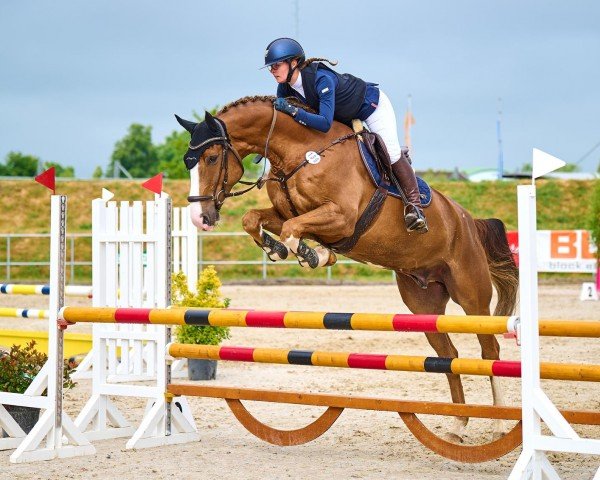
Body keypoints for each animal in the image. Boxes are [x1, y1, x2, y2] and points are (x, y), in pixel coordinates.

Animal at [176, 94, 516, 442]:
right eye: (189, 161)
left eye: (212, 158)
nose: (200, 218)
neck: (301, 151)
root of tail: (468, 220)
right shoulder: (288, 214)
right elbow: (254, 219)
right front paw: (286, 250)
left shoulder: (341, 216)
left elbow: (294, 229)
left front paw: (312, 255)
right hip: (424, 304)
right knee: (449, 356)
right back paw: (458, 424)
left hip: (471, 296)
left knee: (489, 350)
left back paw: (498, 423)